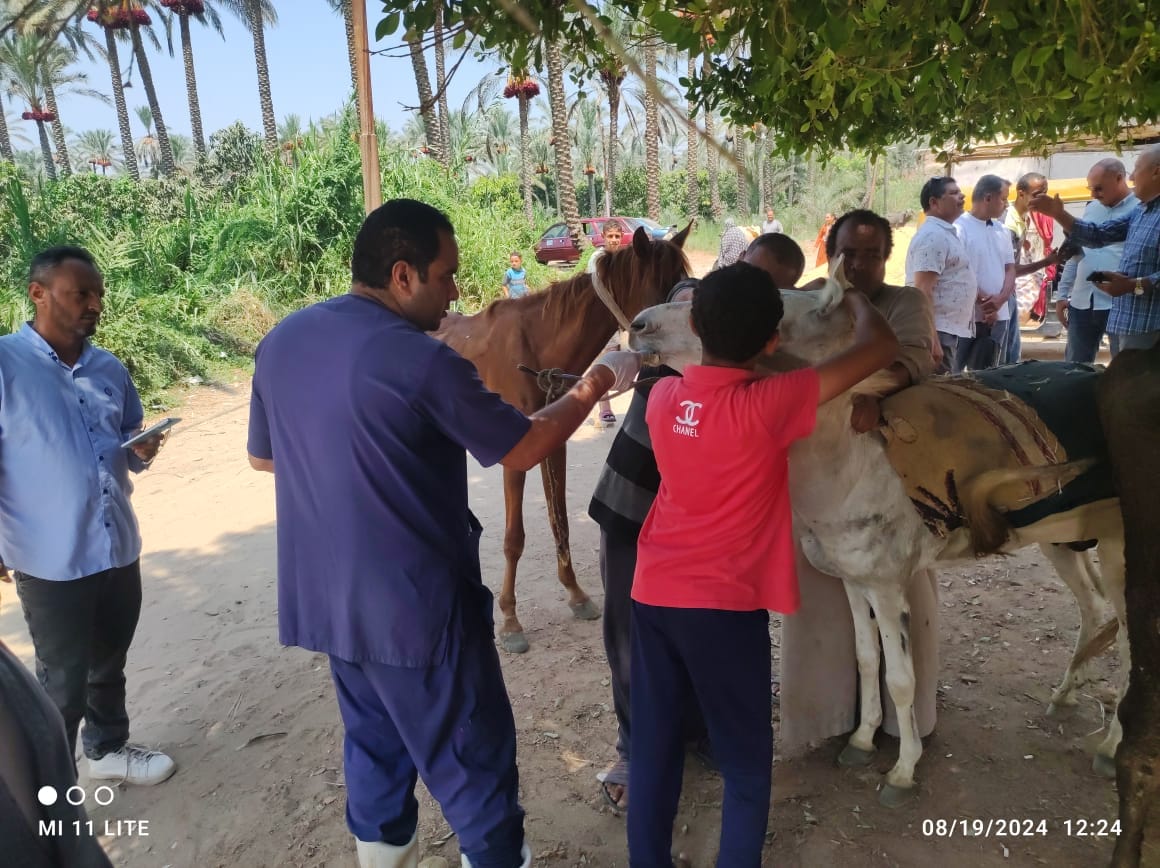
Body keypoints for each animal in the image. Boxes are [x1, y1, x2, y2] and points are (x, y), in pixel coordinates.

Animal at [433, 223, 686, 649]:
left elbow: (560, 520)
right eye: (662, 292)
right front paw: (510, 619)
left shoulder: (555, 443)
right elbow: (514, 538)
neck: (536, 348)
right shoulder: (514, 456)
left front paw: (575, 593)